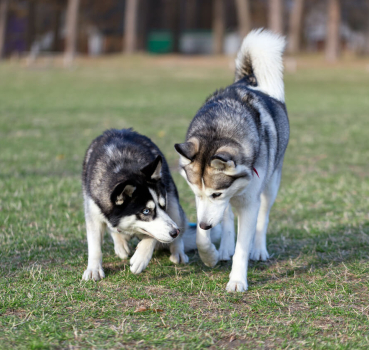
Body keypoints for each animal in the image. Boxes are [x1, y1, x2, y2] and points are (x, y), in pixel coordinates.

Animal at [81, 129, 193, 282]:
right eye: (146, 211)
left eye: (163, 206)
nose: (175, 232)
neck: (122, 166)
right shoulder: (93, 211)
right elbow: (95, 245)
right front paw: (93, 268)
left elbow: (153, 235)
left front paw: (141, 258)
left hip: (173, 202)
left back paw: (178, 252)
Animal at [174, 29, 288, 292]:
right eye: (196, 193)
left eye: (216, 193)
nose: (205, 225)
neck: (218, 130)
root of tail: (248, 79)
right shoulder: (205, 206)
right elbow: (202, 236)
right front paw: (210, 256)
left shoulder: (247, 203)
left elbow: (243, 246)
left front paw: (237, 280)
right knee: (225, 219)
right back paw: (224, 247)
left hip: (272, 185)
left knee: (263, 217)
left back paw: (259, 249)